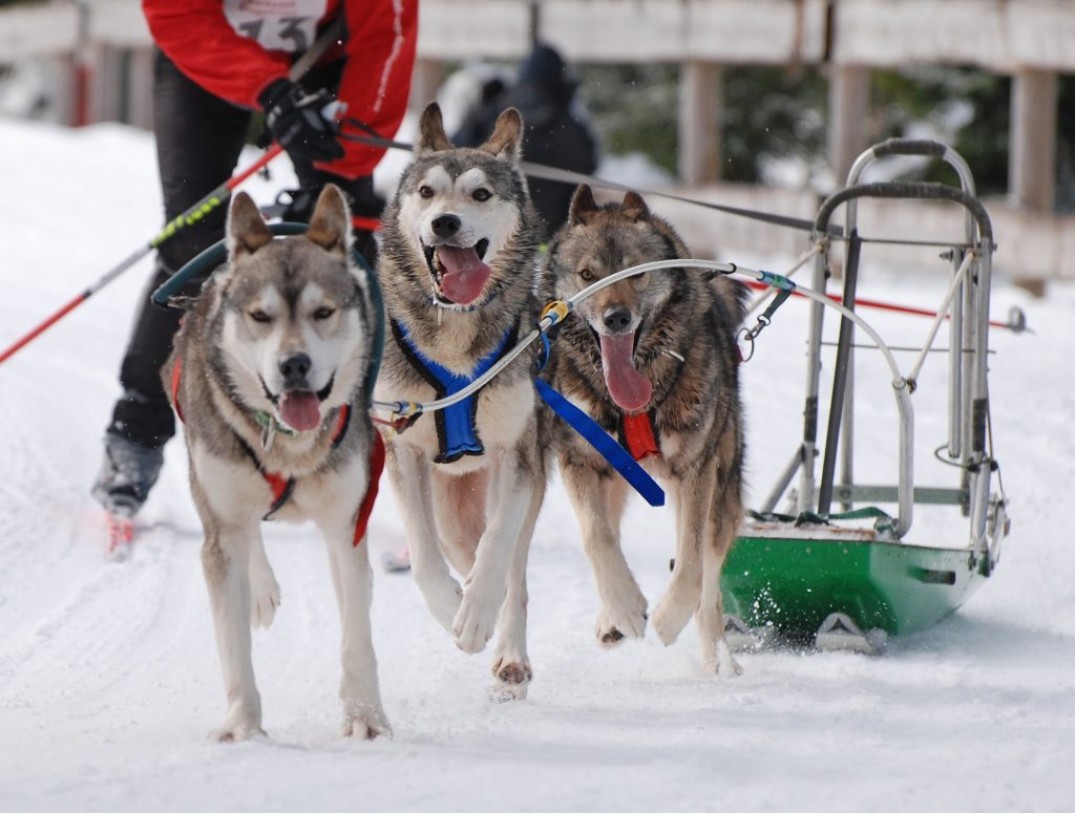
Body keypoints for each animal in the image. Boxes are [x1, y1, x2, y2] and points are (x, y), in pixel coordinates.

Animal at [165, 187, 389, 739]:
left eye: (323, 312)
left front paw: (365, 716)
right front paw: (242, 725)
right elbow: (233, 646)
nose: (294, 365)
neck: (288, 445)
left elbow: (357, 635)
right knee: (249, 538)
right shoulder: (222, 526)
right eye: (260, 316)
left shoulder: (346, 524)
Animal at [376, 103, 546, 696]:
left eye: (480, 194)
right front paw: (452, 602)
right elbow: (424, 555)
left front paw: (475, 614)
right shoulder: (401, 450)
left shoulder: (518, 455)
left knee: (514, 569)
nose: (444, 223)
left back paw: (508, 651)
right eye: (427, 191)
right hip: (449, 503)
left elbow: (498, 549)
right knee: (454, 544)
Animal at [546, 186, 748, 675]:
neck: (637, 403)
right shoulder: (580, 460)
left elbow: (691, 563)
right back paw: (611, 618)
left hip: (722, 493)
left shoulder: (696, 472)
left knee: (709, 583)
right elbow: (596, 536)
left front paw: (669, 618)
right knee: (611, 530)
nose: (616, 318)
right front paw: (622, 607)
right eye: (587, 274)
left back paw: (718, 659)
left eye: (636, 273)